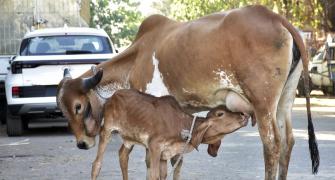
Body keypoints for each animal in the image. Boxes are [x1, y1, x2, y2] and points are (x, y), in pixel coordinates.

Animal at [90, 89, 248, 180]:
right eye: (220, 114)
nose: (243, 115)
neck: (181, 126)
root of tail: (111, 97)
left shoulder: (165, 155)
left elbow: (163, 176)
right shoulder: (154, 147)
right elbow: (154, 176)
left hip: (129, 139)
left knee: (123, 156)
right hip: (107, 130)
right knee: (97, 164)